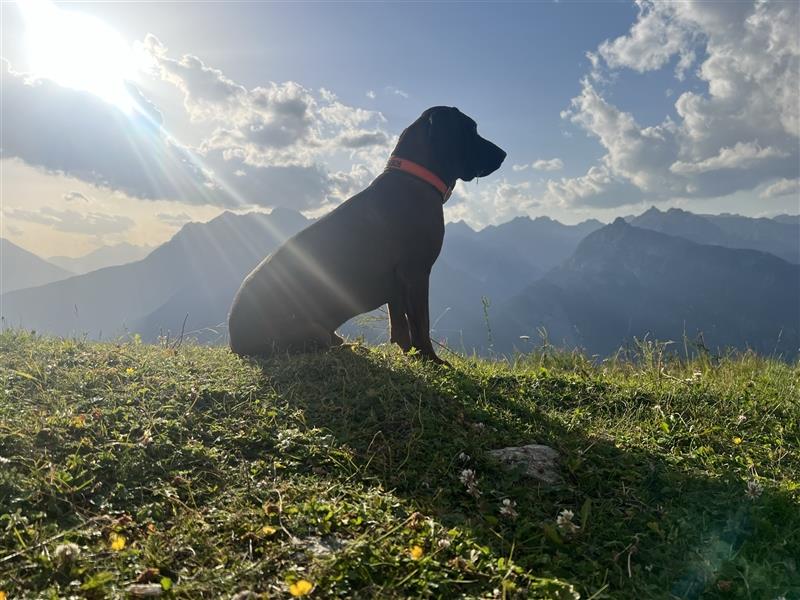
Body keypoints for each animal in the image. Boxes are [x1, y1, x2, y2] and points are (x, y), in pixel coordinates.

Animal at [228, 105, 506, 364]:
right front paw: (431, 359)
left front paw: (410, 355)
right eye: (471, 129)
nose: (504, 154)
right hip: (310, 330)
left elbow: (400, 328)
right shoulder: (416, 273)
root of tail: (234, 339)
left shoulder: (397, 284)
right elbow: (421, 324)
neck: (415, 179)